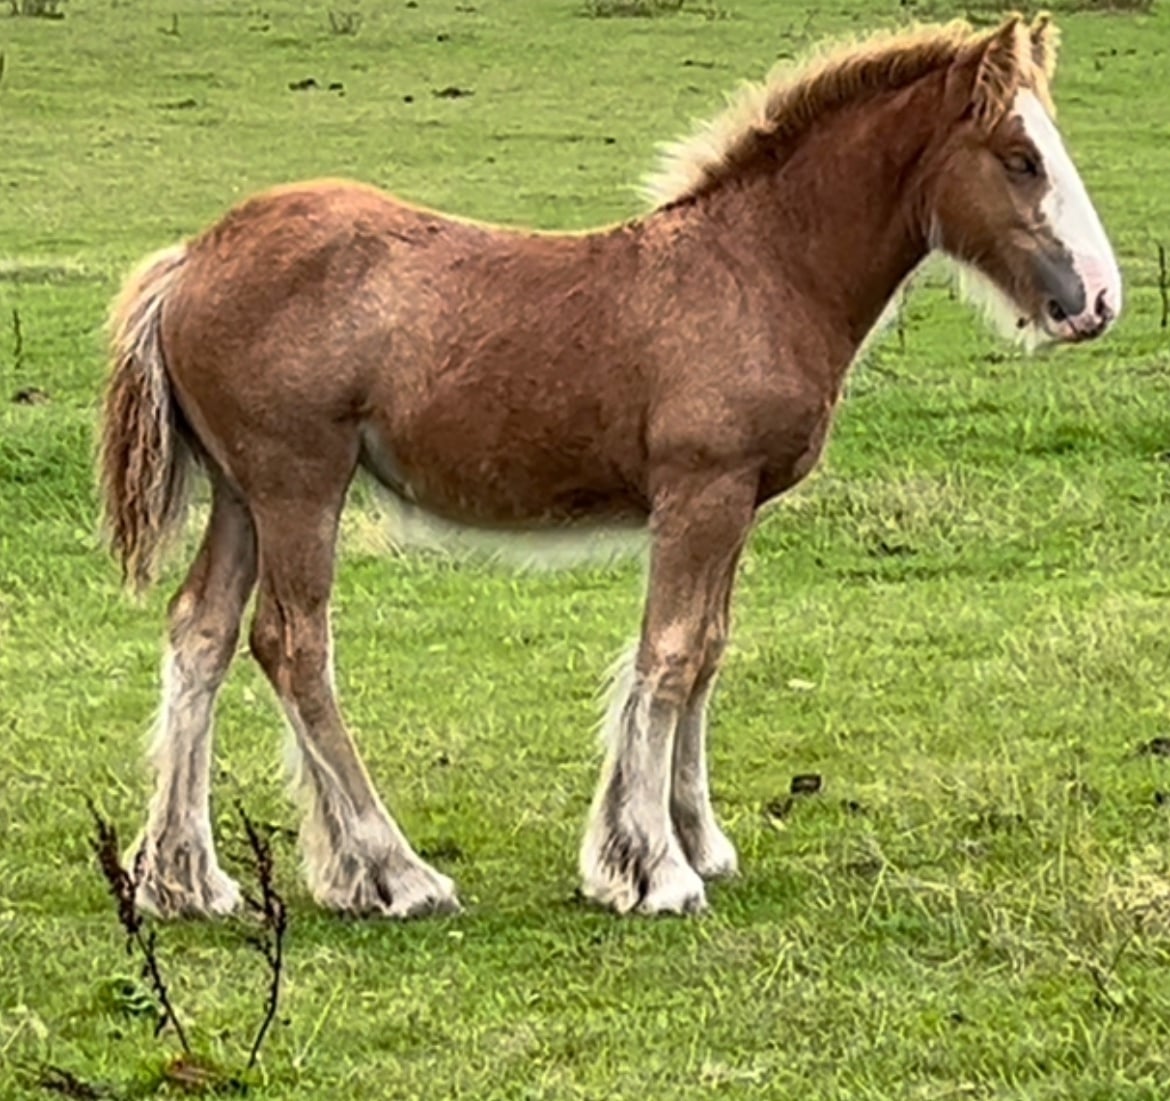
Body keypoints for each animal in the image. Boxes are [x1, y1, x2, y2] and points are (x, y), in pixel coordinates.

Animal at [99, 14, 1120, 919]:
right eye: (1021, 158)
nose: (1100, 301)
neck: (759, 271)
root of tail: (191, 258)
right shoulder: (701, 491)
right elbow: (667, 655)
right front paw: (652, 868)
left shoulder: (737, 504)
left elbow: (708, 650)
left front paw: (696, 839)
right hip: (299, 483)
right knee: (292, 645)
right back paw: (393, 874)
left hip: (243, 494)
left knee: (201, 634)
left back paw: (184, 879)